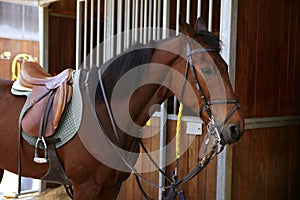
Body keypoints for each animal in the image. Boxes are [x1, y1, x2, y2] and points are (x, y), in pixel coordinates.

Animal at [0, 18, 244, 199]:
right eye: (207, 70)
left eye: (225, 66)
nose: (235, 128)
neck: (105, 113)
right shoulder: (85, 188)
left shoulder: (111, 187)